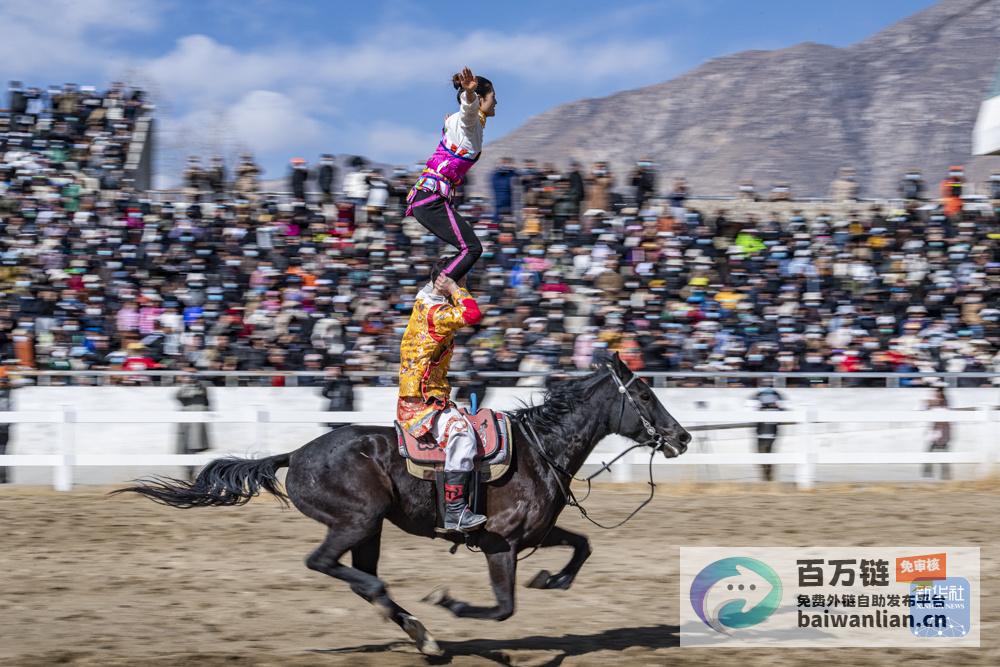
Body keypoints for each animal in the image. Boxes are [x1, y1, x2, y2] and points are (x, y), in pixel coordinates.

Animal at [117, 354, 692, 656]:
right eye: (644, 395)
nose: (681, 436)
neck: (538, 449)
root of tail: (296, 454)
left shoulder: (534, 534)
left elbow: (583, 545)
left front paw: (552, 578)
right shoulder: (498, 545)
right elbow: (502, 608)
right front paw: (451, 603)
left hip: (369, 531)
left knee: (357, 575)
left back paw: (420, 634)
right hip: (357, 521)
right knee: (327, 564)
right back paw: (421, 628)